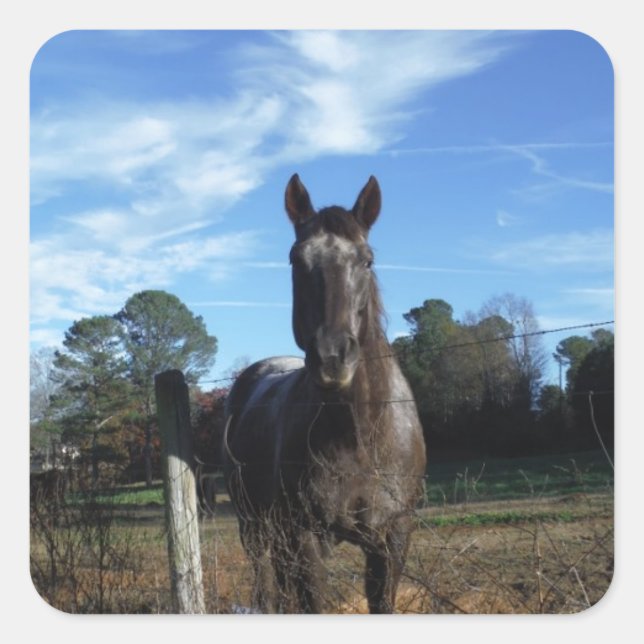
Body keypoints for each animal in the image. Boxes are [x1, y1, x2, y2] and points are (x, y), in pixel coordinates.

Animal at [222, 174, 427, 613]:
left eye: (367, 260)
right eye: (295, 260)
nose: (333, 357)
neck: (360, 435)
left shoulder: (393, 538)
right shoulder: (306, 538)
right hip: (254, 527)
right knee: (267, 590)